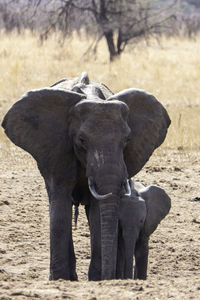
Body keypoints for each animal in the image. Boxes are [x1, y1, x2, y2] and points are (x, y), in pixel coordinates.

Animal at [1, 72, 170, 282]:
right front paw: (60, 279)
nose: (109, 277)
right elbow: (60, 204)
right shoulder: (57, 148)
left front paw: (96, 279)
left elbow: (98, 212)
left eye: (127, 140)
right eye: (82, 140)